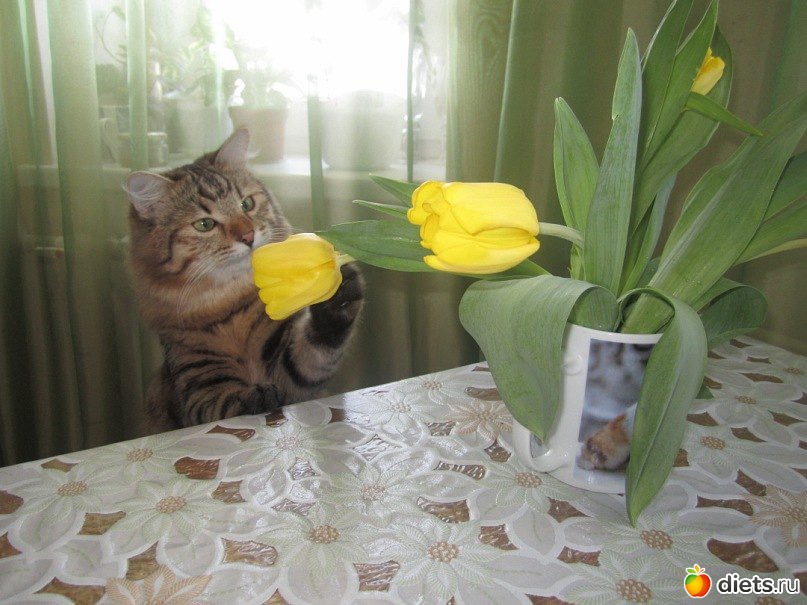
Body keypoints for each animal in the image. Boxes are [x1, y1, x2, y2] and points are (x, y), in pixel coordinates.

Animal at [125, 128, 364, 433]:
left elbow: (317, 347)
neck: (230, 310)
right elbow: (223, 400)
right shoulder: (198, 383)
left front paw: (339, 292)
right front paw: (256, 395)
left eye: (246, 204)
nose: (248, 235)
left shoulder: (294, 375)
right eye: (204, 224)